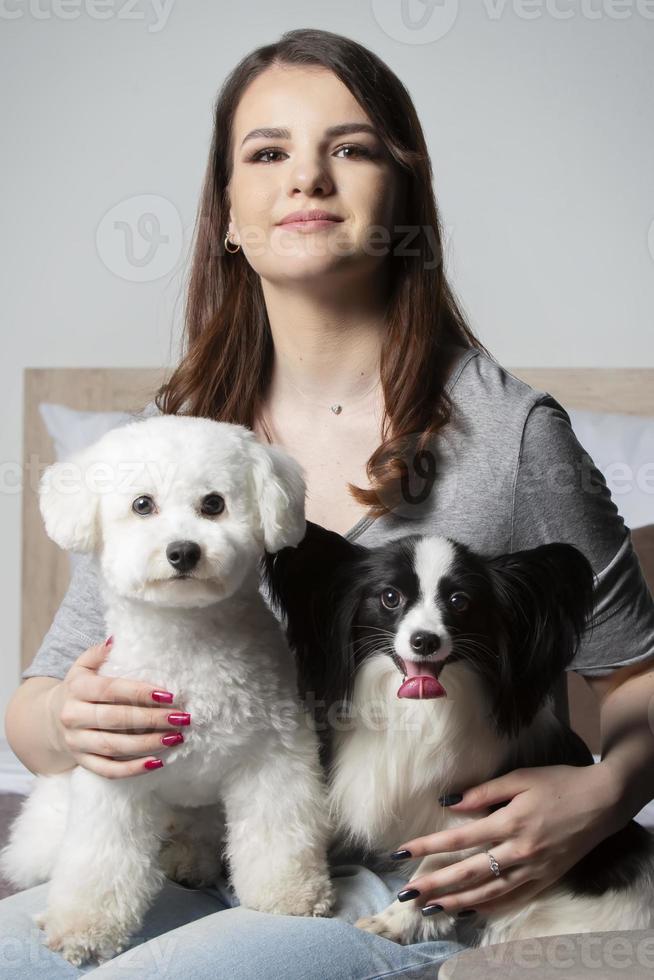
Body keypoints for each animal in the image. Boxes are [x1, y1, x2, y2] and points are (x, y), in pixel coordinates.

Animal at [0, 412, 336, 964]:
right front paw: (83, 927)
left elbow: (277, 834)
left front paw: (290, 894)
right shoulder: (112, 776)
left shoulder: (273, 759)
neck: (188, 640)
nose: (183, 551)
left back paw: (187, 859)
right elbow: (100, 859)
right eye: (143, 505)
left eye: (214, 504)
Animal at [264, 524, 654, 944]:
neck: (422, 711)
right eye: (390, 597)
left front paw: (395, 920)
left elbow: (434, 866)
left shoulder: (471, 816)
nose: (425, 640)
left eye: (459, 601)